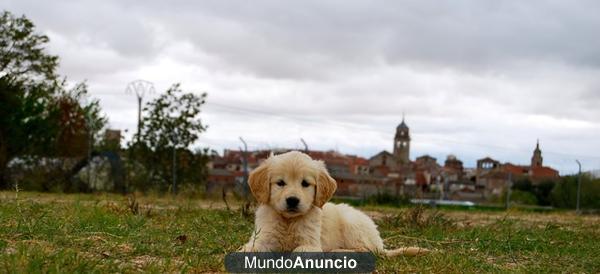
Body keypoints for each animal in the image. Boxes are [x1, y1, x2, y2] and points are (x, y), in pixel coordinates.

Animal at [239, 151, 426, 256]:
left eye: (305, 183)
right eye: (280, 183)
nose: (292, 200)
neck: (288, 221)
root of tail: (379, 242)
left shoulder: (311, 243)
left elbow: (298, 252)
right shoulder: (263, 238)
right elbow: (248, 249)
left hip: (352, 223)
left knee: (368, 250)